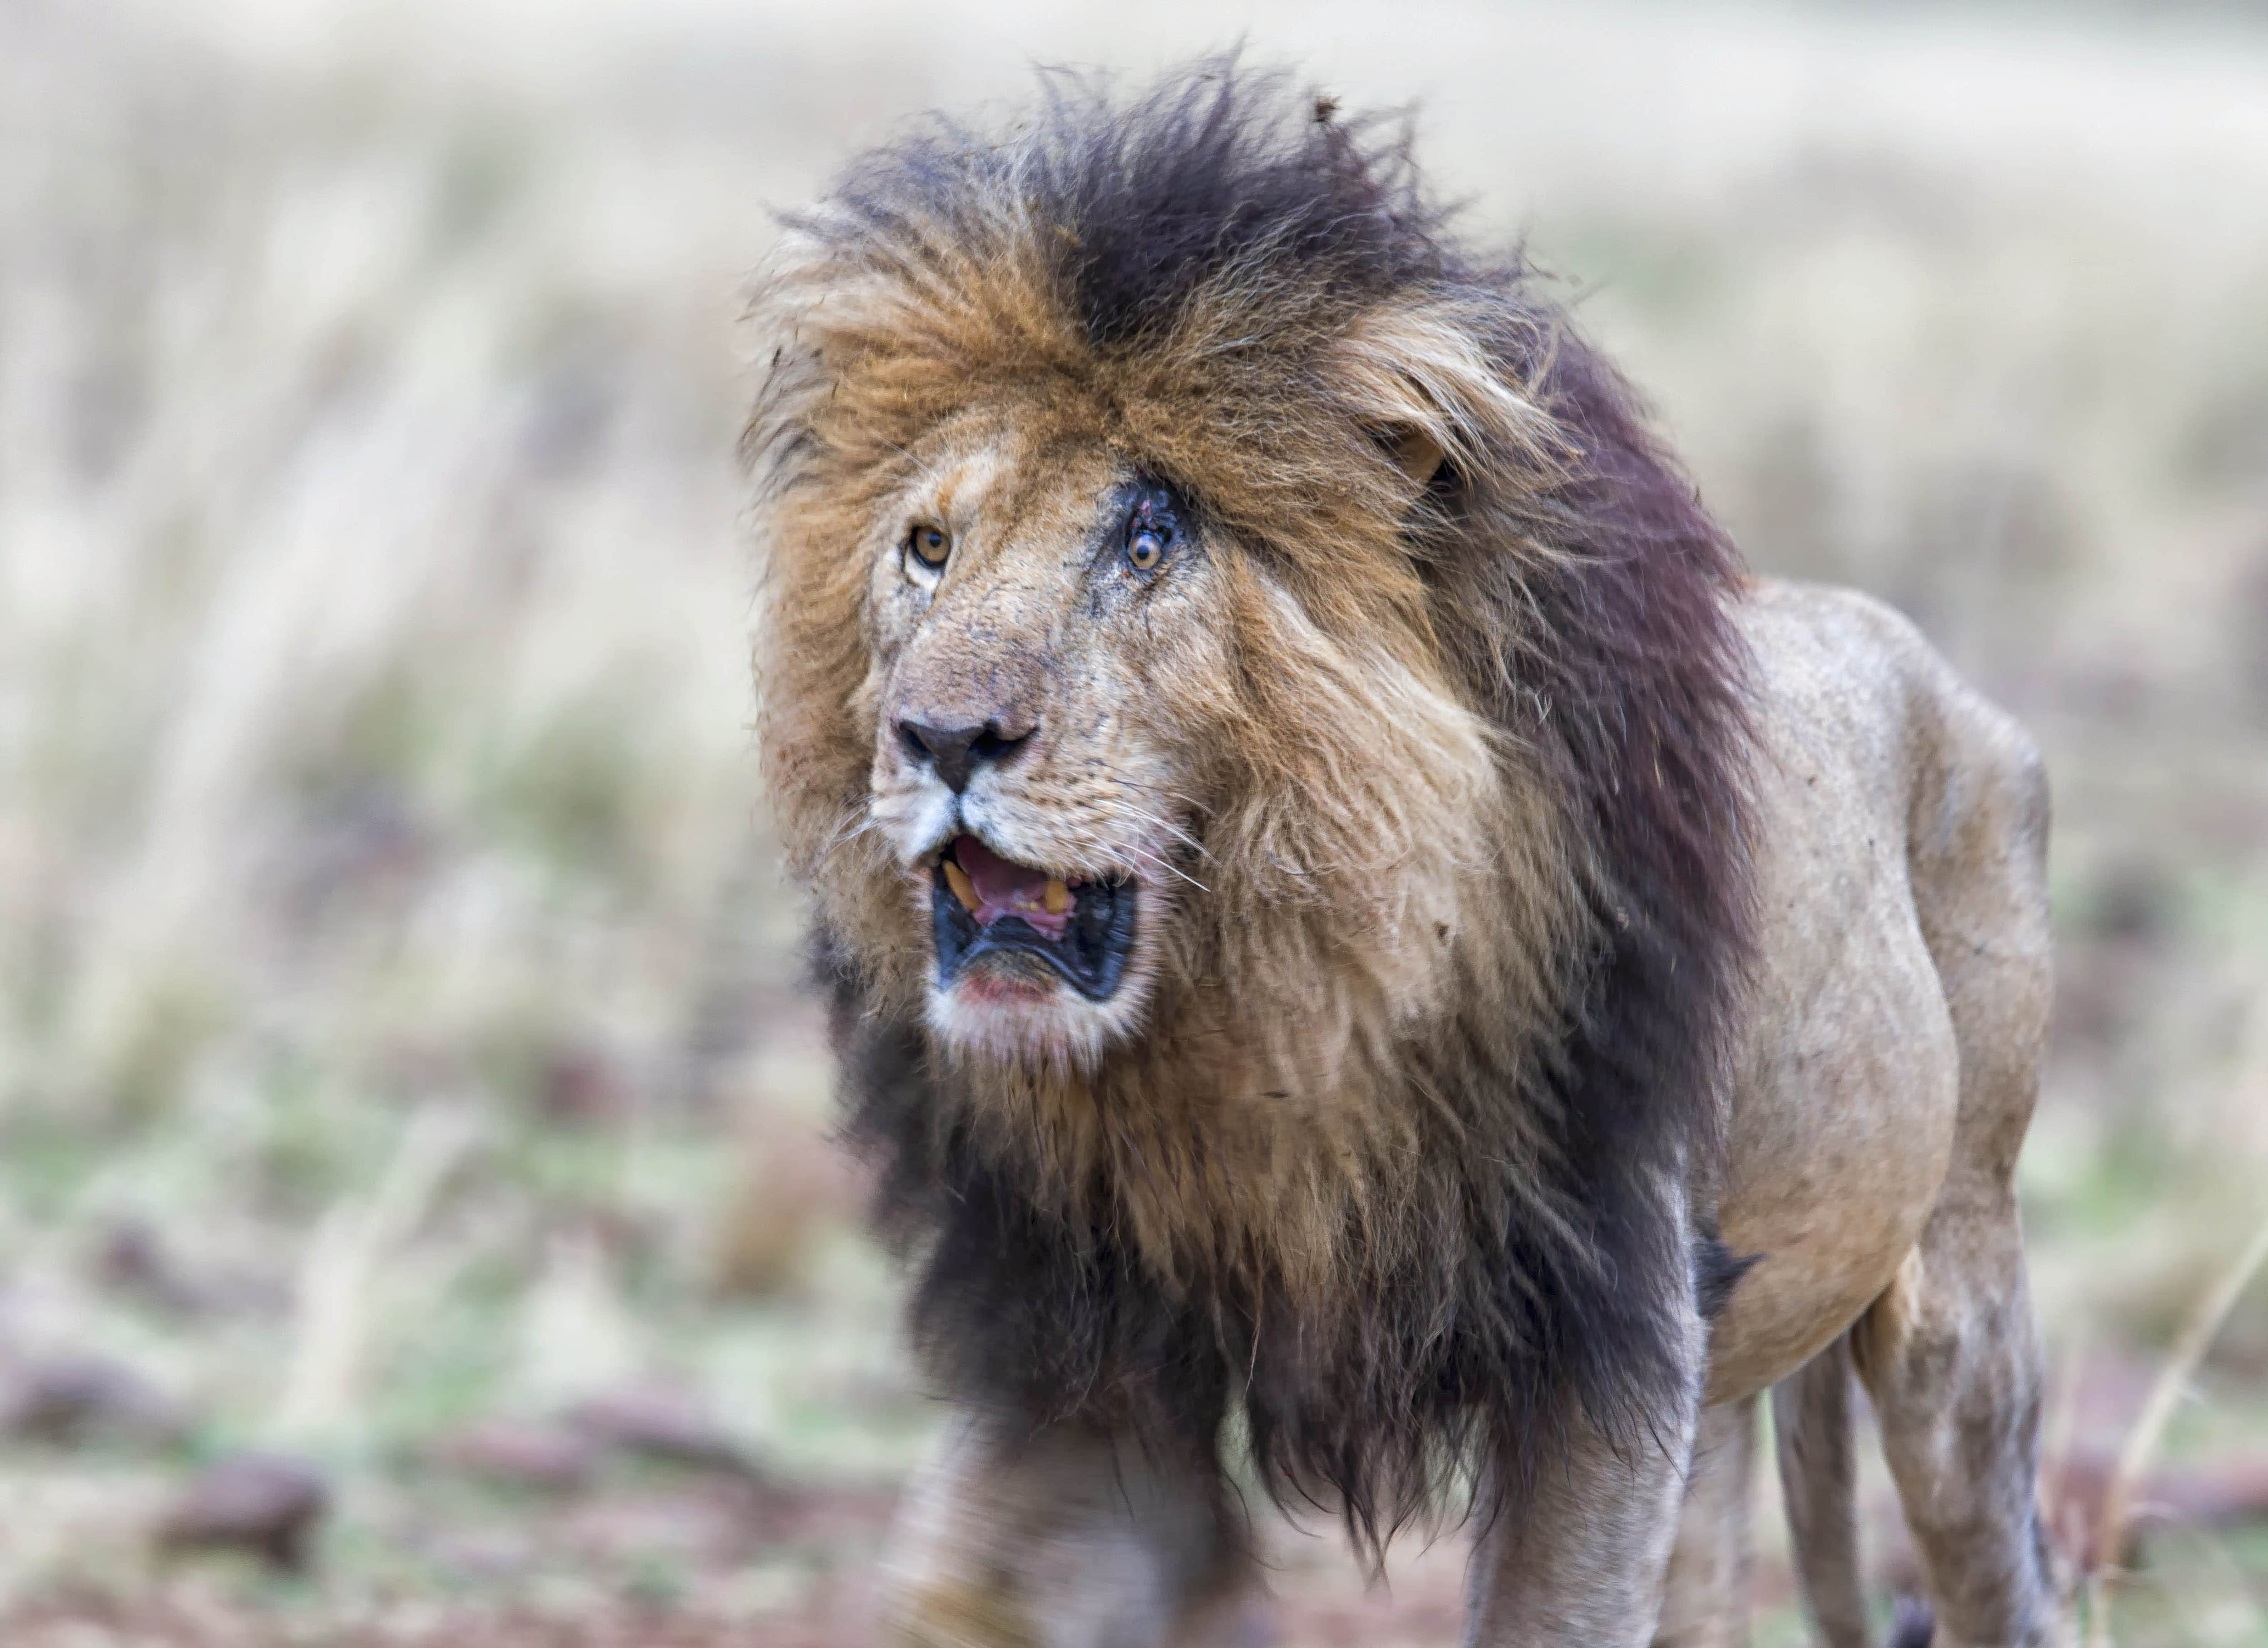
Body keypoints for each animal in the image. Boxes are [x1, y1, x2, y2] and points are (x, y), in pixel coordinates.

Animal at [753, 65, 2068, 1648]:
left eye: (1148, 537)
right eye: (929, 547)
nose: (940, 736)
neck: (1273, 1015)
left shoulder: (1606, 1336)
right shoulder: (1085, 1353)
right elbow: (967, 1583)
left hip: (1953, 1304)